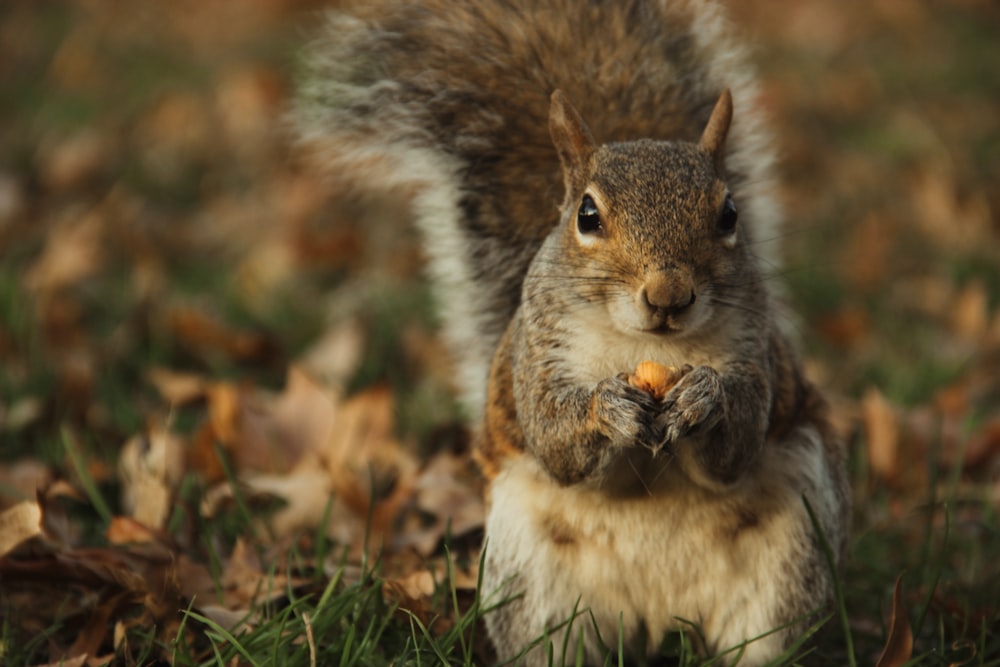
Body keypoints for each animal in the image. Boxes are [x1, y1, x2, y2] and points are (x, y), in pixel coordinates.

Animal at [294, 2, 852, 664]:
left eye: (729, 214)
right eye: (587, 215)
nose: (669, 295)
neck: (647, 347)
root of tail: (659, 619)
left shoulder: (754, 349)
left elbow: (736, 449)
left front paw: (705, 397)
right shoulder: (539, 352)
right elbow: (554, 437)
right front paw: (605, 408)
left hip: (790, 562)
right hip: (534, 584)